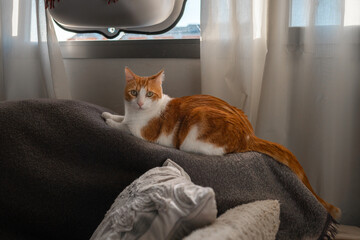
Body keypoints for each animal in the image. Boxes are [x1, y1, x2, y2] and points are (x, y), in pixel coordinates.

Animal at [101, 67, 340, 219]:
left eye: (149, 94)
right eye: (134, 93)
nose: (140, 103)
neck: (137, 113)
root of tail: (249, 134)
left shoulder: (142, 133)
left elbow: (123, 128)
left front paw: (108, 121)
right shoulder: (129, 117)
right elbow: (120, 118)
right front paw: (108, 114)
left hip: (194, 129)